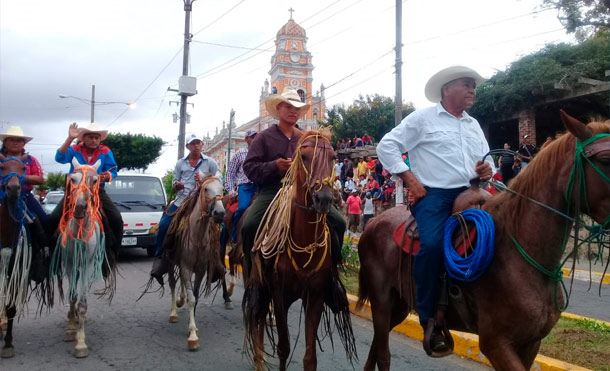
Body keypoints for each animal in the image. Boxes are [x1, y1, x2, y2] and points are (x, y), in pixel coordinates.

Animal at [49, 159, 117, 358]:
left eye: (95, 180)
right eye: (73, 179)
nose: (79, 207)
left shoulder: (87, 264)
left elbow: (82, 303)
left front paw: (80, 343)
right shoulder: (70, 264)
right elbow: (72, 296)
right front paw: (71, 329)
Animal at [164, 177, 226, 352]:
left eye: (222, 189)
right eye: (205, 189)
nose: (220, 213)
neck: (197, 236)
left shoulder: (200, 269)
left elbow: (195, 296)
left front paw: (194, 327)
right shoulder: (185, 266)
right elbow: (191, 299)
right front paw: (192, 336)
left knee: (183, 283)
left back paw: (181, 299)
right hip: (171, 262)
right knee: (172, 283)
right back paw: (173, 312)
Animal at [243, 129, 356, 371]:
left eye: (333, 157)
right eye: (303, 157)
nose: (324, 199)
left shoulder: (315, 295)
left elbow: (310, 357)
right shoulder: (280, 295)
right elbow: (283, 347)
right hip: (259, 283)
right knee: (257, 315)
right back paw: (258, 358)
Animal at [356, 111, 608, 371]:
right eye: (605, 159)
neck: (520, 252)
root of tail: (373, 223)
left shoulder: (531, 343)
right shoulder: (495, 343)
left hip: (399, 305)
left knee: (376, 346)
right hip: (382, 301)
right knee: (383, 354)